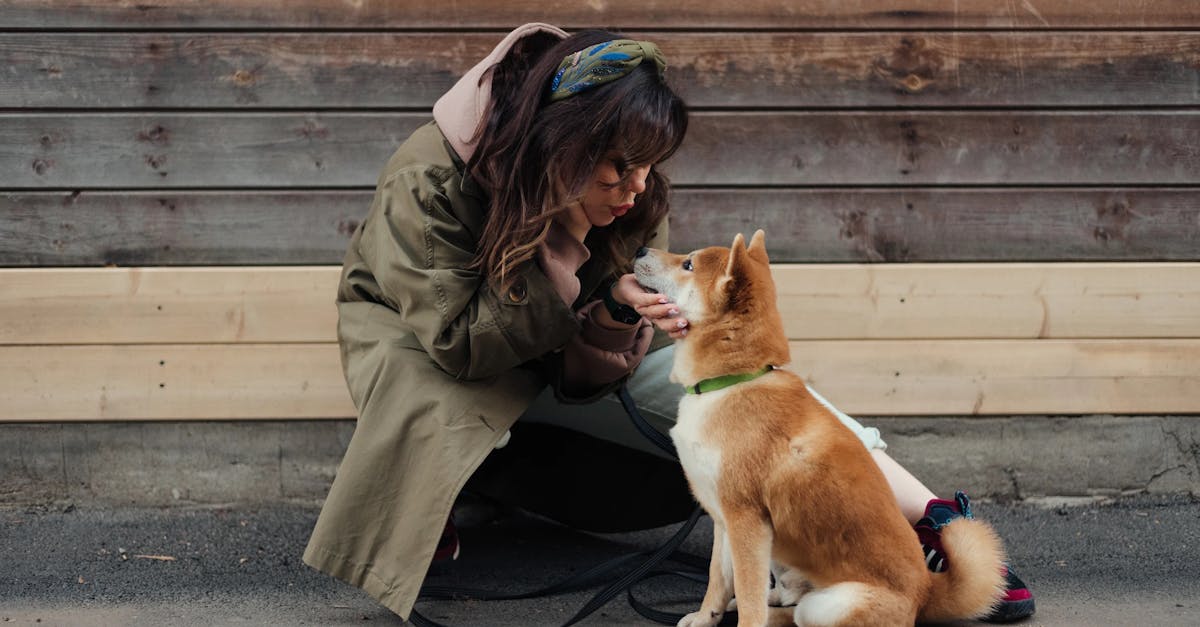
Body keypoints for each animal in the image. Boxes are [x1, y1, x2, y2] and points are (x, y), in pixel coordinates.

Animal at [633, 231, 1008, 624]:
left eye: (688, 263)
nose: (641, 248)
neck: (731, 382)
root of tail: (925, 592)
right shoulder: (723, 517)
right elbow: (717, 580)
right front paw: (707, 616)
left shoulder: (745, 520)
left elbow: (747, 595)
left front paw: (740, 617)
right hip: (783, 555)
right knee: (788, 595)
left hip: (831, 603)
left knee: (796, 612)